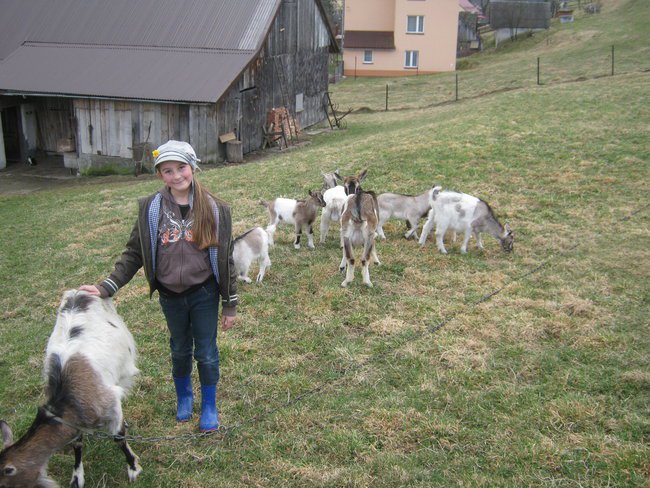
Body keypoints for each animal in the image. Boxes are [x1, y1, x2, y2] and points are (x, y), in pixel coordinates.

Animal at [0, 290, 141, 488]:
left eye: (4, 484)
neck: (66, 400)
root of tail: (80, 291)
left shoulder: (109, 400)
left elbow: (118, 437)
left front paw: (133, 467)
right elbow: (77, 444)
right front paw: (77, 477)